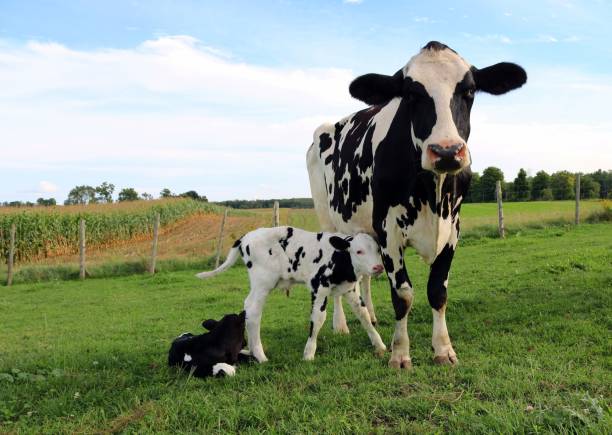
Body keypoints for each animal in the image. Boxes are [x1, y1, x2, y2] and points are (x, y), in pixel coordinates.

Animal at [196, 227, 388, 362]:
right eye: (359, 251)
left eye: (378, 250)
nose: (378, 267)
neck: (340, 259)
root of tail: (246, 237)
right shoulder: (318, 287)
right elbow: (318, 318)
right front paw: (309, 353)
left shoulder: (350, 289)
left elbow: (364, 314)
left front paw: (379, 344)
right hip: (262, 282)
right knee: (252, 311)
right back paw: (260, 355)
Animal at [306, 41, 524, 370]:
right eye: (410, 94)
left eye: (470, 90)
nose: (446, 151)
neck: (431, 192)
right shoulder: (388, 231)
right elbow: (403, 295)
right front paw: (399, 353)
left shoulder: (453, 229)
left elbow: (438, 291)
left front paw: (443, 349)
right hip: (328, 220)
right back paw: (340, 325)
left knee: (365, 276)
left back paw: (371, 315)